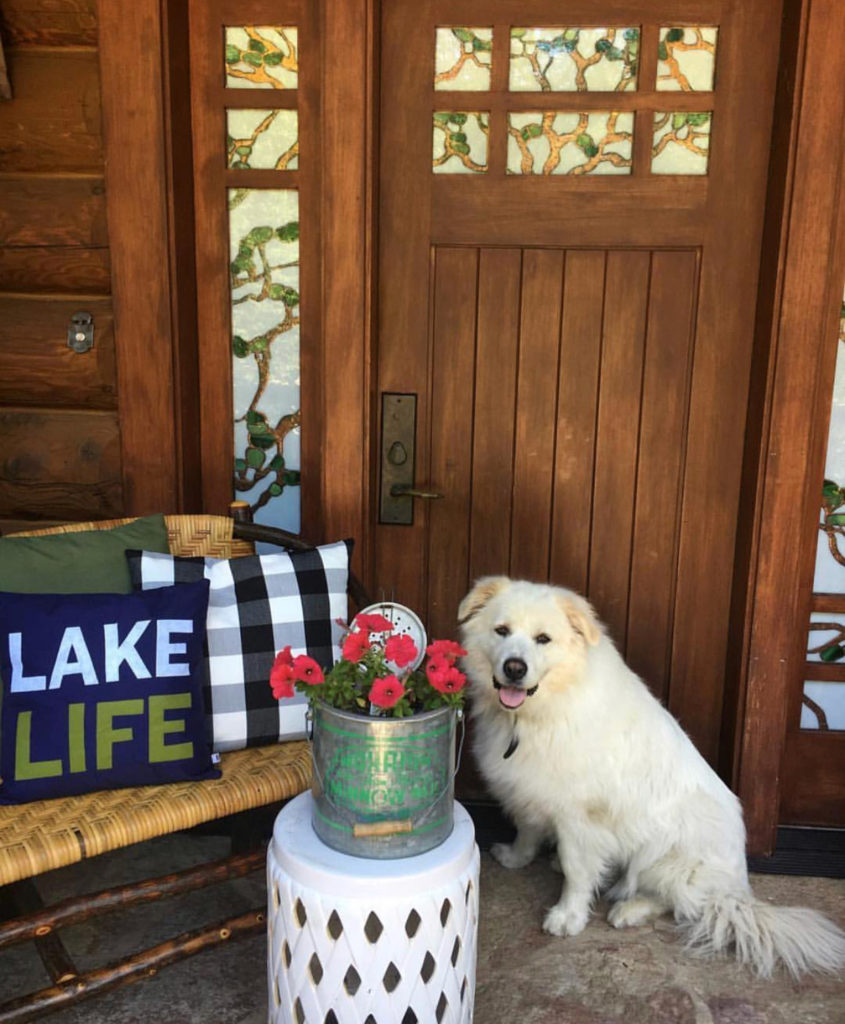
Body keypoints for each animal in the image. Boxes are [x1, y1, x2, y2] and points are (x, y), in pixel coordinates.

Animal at [460, 577, 843, 974]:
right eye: (502, 631)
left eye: (543, 639)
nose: (514, 668)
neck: (538, 712)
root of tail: (737, 891)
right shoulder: (531, 788)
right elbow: (527, 830)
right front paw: (516, 857)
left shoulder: (580, 817)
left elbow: (577, 871)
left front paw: (568, 918)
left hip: (664, 859)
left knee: (679, 901)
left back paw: (629, 910)